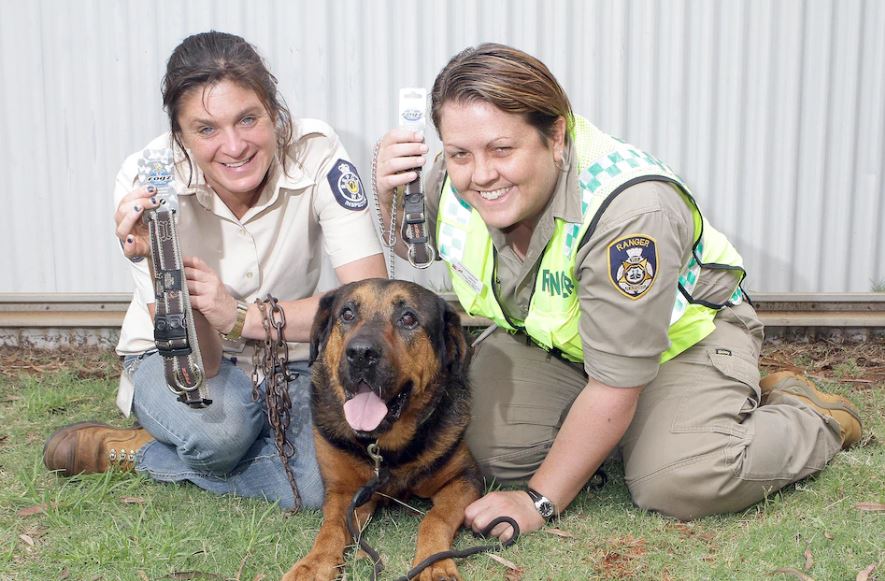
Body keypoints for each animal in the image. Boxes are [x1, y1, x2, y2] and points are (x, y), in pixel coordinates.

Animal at [283, 279, 482, 581]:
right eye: (347, 314)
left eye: (408, 318)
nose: (360, 354)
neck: (384, 446)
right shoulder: (344, 492)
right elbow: (330, 528)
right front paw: (314, 564)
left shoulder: (464, 478)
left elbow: (435, 518)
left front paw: (434, 563)